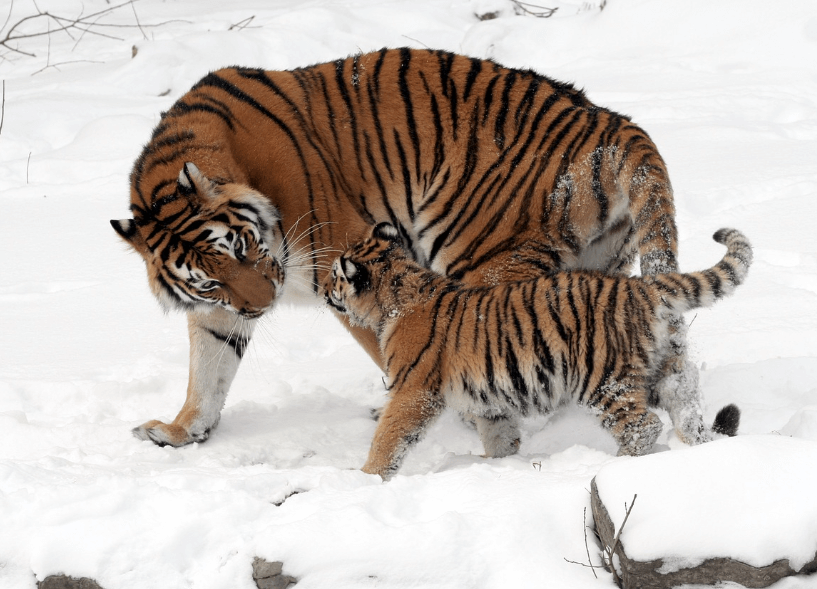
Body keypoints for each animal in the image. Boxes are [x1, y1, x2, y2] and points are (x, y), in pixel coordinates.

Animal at [111, 48, 704, 448]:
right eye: (210, 279)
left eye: (241, 247)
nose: (263, 305)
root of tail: (611, 123)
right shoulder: (220, 308)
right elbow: (208, 367)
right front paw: (180, 430)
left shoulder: (344, 261)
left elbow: (394, 346)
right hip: (599, 265)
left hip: (484, 257)